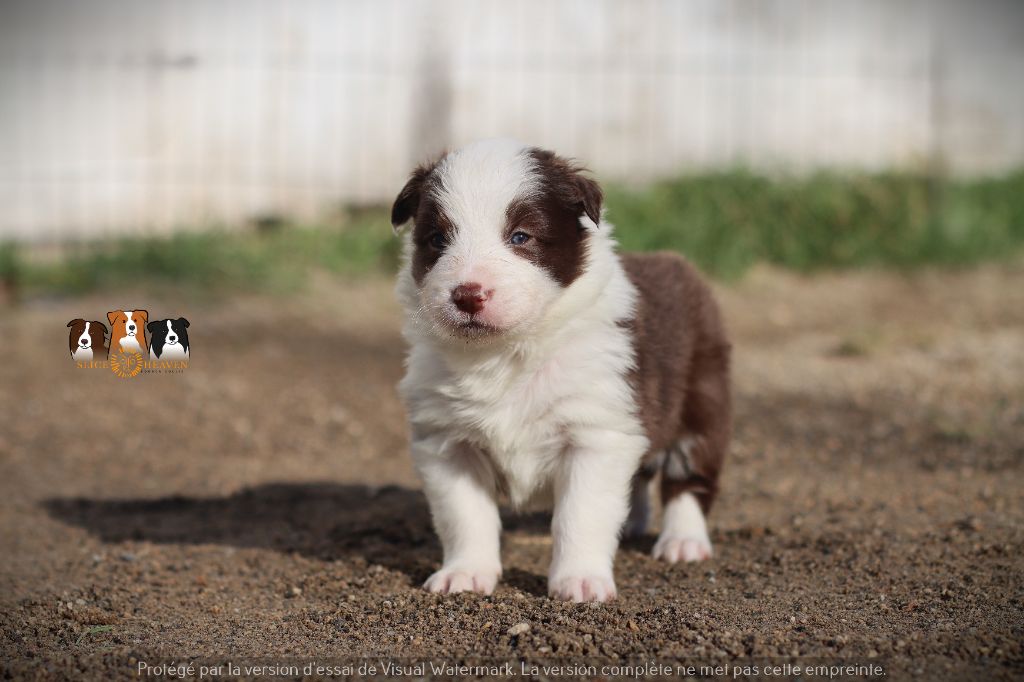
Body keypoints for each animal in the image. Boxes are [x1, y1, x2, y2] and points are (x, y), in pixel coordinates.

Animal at [389, 138, 729, 602]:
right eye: (437, 238)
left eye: (521, 237)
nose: (468, 295)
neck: (504, 354)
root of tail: (682, 265)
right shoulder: (447, 442)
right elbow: (464, 514)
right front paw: (465, 573)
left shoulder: (595, 433)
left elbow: (581, 513)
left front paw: (580, 581)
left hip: (702, 397)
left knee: (688, 477)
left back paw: (683, 542)